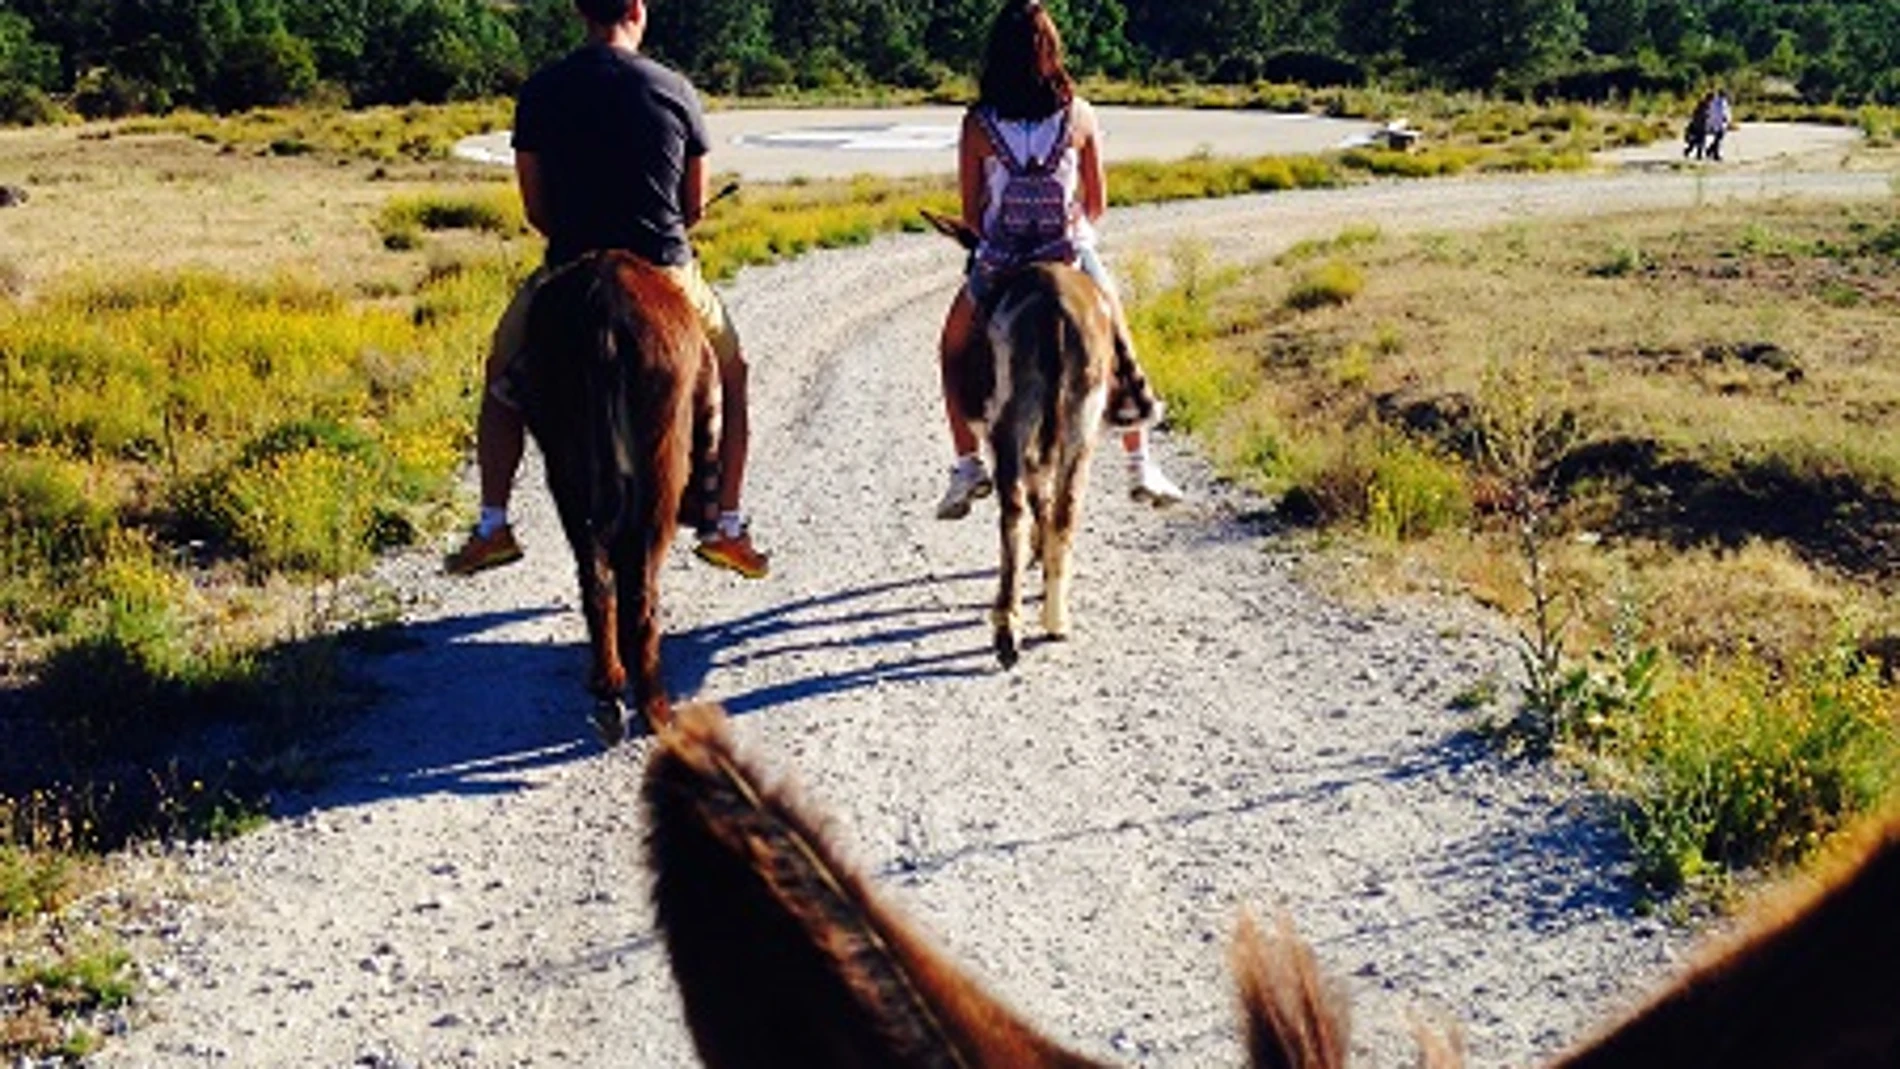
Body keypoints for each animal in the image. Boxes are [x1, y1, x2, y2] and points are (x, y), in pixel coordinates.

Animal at [513, 252, 718, 744]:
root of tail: (602, 310)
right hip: (662, 473)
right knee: (640, 592)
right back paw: (656, 710)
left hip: (564, 470)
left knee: (596, 581)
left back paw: (608, 692)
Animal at [919, 211, 1109, 668]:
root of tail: (1055, 306)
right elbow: (1047, 500)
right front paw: (1044, 558)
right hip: (1081, 421)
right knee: (1066, 506)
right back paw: (1056, 618)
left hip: (1010, 424)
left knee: (1014, 510)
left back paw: (1007, 627)